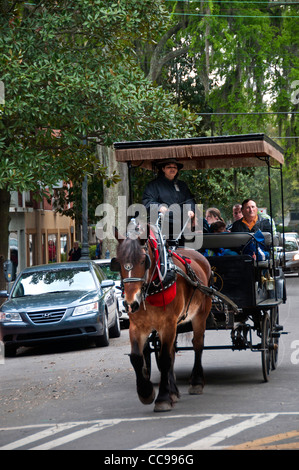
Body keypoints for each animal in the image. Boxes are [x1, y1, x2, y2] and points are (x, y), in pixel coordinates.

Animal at [112, 225, 213, 412]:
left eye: (143, 261)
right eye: (119, 263)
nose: (130, 304)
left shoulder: (168, 324)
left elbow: (164, 359)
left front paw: (163, 398)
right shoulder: (137, 326)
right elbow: (138, 357)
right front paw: (146, 392)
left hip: (200, 315)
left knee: (198, 345)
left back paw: (196, 382)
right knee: (172, 351)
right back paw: (174, 391)